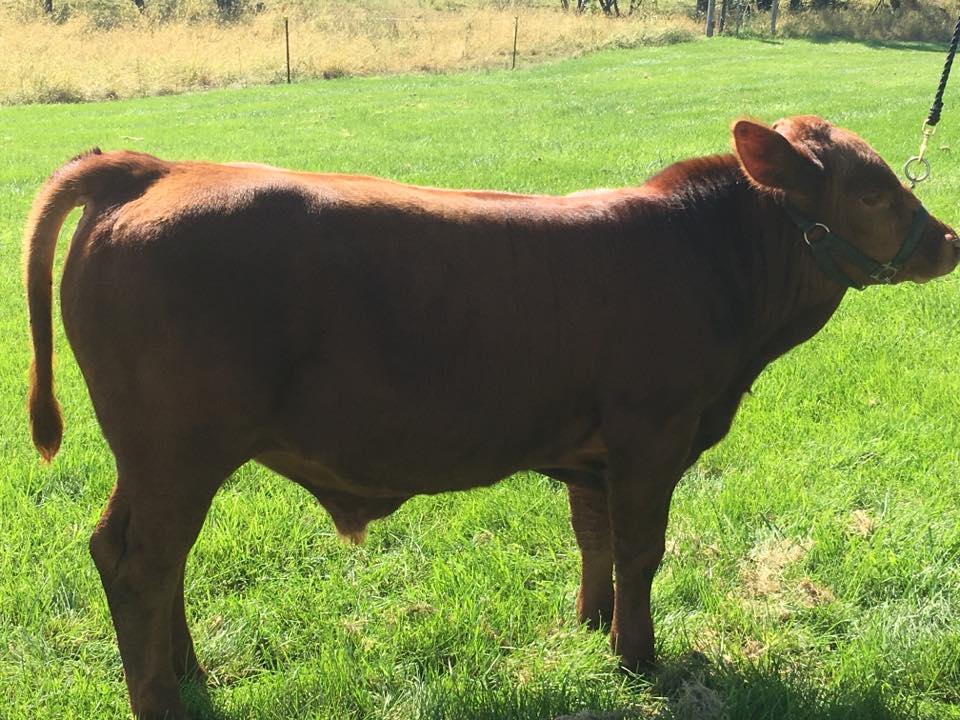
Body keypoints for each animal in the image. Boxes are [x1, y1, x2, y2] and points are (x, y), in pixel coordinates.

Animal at [24, 116, 959, 720]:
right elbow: (641, 548)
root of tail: (155, 169)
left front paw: (590, 624)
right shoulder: (651, 434)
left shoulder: (594, 449)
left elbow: (592, 537)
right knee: (139, 563)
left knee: (147, 558)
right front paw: (638, 654)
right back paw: (163, 700)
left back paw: (185, 674)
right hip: (177, 450)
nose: (948, 241)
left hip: (155, 459)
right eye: (872, 192)